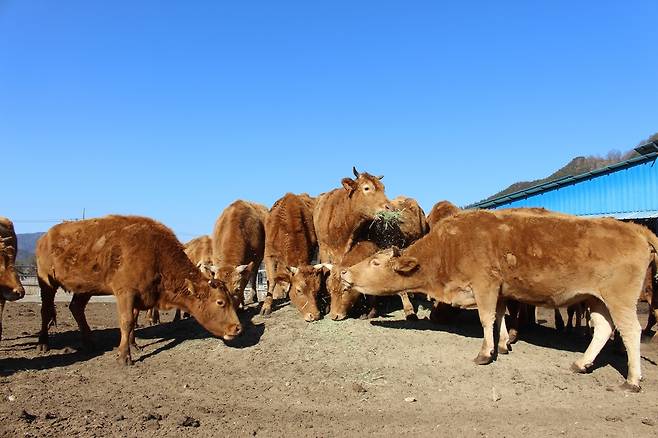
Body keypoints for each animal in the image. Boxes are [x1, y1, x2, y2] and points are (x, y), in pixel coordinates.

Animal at [36, 214, 241, 364]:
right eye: (220, 302)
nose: (238, 328)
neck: (155, 253)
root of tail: (45, 237)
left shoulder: (140, 296)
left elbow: (133, 321)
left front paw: (133, 345)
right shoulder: (125, 293)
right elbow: (126, 321)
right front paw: (124, 356)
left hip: (85, 289)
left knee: (76, 308)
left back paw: (89, 342)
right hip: (47, 282)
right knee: (45, 310)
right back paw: (43, 344)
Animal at [340, 209, 656, 390]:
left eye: (375, 263)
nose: (344, 272)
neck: (449, 246)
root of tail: (634, 229)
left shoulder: (485, 285)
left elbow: (486, 318)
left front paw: (485, 353)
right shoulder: (501, 291)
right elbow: (500, 316)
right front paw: (503, 345)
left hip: (619, 299)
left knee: (630, 331)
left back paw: (632, 380)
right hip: (595, 299)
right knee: (603, 328)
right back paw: (582, 363)